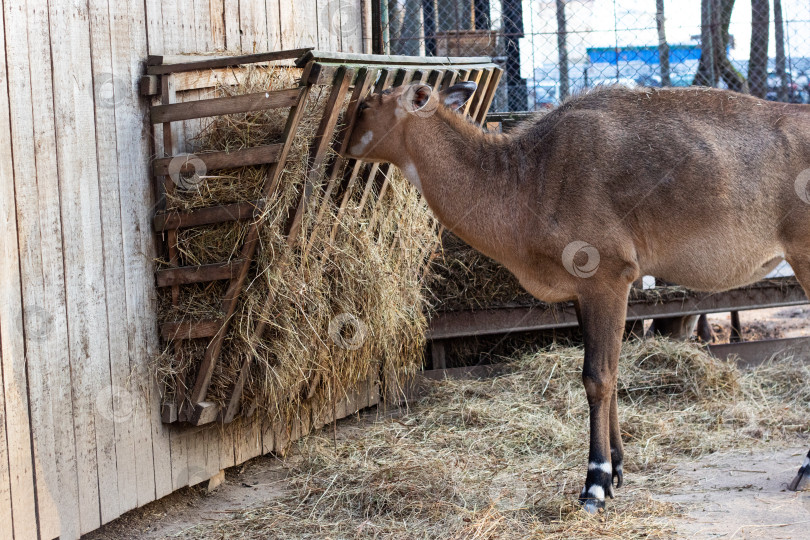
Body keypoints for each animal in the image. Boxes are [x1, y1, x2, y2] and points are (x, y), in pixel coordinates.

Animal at [344, 81, 808, 510]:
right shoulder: (584, 294)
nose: (340, 146)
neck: (528, 176)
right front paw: (618, 467)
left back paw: (804, 469)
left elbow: (597, 377)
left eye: (365, 103)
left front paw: (596, 483)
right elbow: (613, 372)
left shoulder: (609, 277)